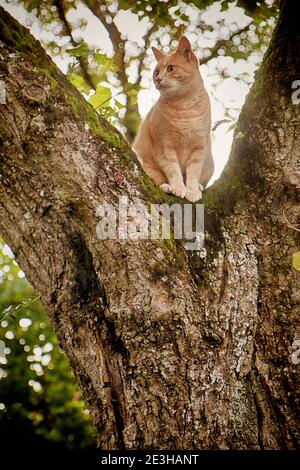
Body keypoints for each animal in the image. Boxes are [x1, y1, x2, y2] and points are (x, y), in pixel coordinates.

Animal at [133, 36, 213, 202]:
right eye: (156, 72)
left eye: (170, 69)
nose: (158, 79)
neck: (185, 107)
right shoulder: (165, 147)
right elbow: (173, 170)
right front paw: (178, 187)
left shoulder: (199, 148)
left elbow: (193, 173)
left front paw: (192, 190)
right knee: (157, 178)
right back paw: (166, 186)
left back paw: (199, 187)